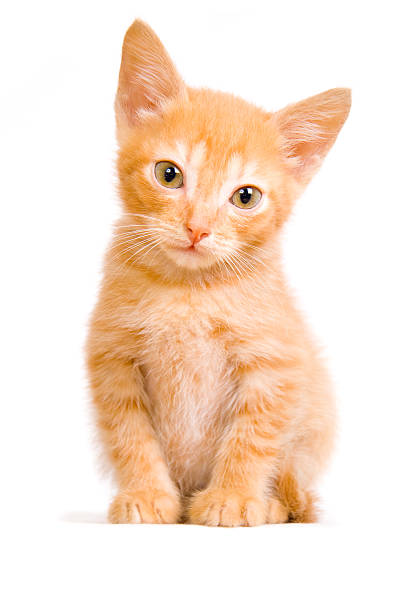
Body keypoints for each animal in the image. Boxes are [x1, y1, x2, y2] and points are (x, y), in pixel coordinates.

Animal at [85, 19, 350, 524]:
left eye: (245, 197)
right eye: (168, 174)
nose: (197, 228)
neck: (189, 289)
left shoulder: (275, 361)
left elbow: (253, 436)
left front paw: (234, 496)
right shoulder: (113, 359)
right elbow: (129, 433)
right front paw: (147, 494)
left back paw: (272, 505)